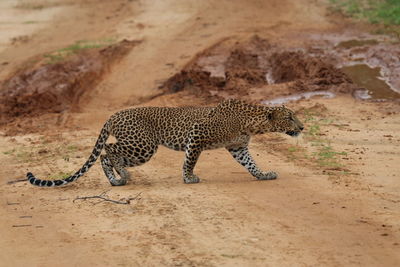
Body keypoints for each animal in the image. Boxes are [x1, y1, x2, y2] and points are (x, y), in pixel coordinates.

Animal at [27, 99, 304, 188]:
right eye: (290, 117)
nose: (302, 127)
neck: (253, 123)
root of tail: (113, 115)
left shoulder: (238, 147)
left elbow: (250, 163)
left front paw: (263, 174)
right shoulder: (197, 134)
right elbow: (190, 159)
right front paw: (189, 177)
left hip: (139, 147)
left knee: (108, 154)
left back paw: (117, 178)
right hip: (143, 145)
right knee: (108, 151)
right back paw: (121, 175)